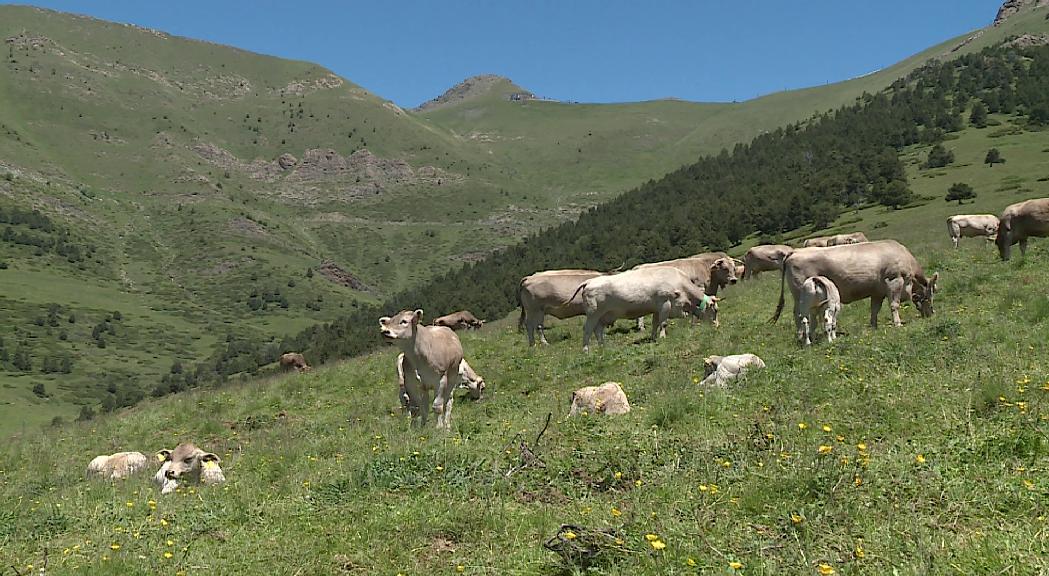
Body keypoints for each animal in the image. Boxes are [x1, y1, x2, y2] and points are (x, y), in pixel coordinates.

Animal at [570, 265, 709, 350]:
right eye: (712, 308)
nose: (713, 324)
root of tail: (589, 282)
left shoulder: (657, 308)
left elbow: (655, 323)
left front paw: (654, 338)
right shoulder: (665, 303)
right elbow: (663, 323)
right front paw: (663, 337)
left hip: (603, 315)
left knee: (598, 330)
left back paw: (602, 347)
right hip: (593, 314)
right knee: (588, 329)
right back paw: (586, 350)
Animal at [772, 239, 935, 329]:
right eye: (930, 295)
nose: (931, 314)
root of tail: (794, 252)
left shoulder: (877, 292)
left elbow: (874, 309)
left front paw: (873, 326)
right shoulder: (894, 281)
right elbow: (894, 305)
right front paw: (898, 324)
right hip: (802, 294)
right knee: (799, 314)